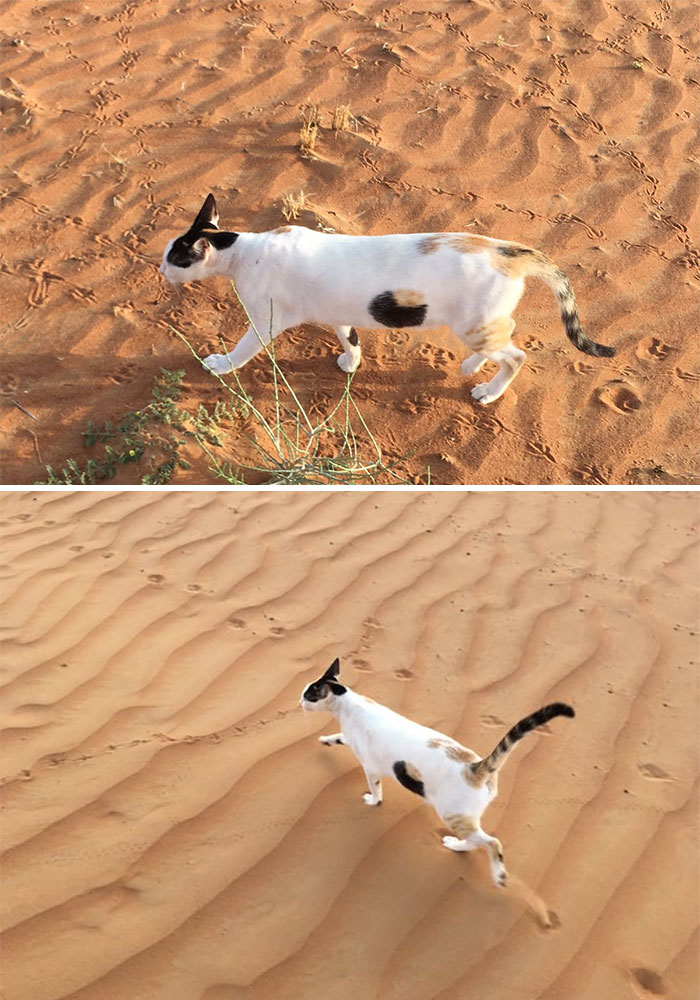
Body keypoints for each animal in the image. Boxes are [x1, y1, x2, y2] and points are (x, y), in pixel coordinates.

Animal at [161, 191, 616, 402]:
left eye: (175, 257)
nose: (160, 269)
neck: (245, 250)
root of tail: (508, 250)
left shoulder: (264, 320)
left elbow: (241, 350)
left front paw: (220, 365)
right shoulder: (339, 314)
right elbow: (349, 338)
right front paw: (351, 362)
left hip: (472, 324)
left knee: (517, 356)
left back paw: (488, 391)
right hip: (481, 323)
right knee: (508, 333)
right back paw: (473, 364)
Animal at [300, 660, 576, 888]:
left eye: (308, 695)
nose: (299, 702)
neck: (348, 703)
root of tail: (476, 767)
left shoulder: (370, 766)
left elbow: (375, 789)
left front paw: (373, 800)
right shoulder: (351, 739)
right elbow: (338, 737)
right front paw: (325, 740)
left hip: (451, 814)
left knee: (490, 842)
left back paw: (495, 873)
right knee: (477, 841)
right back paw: (459, 847)